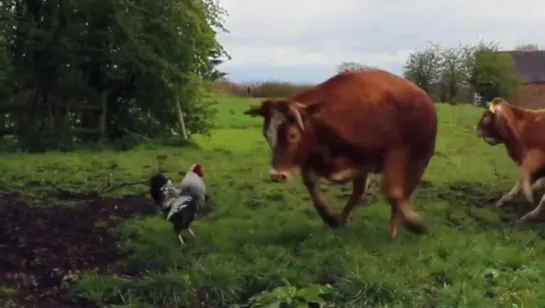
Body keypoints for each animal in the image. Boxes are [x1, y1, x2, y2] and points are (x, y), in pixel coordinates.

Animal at [242, 71, 438, 239]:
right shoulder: (315, 161)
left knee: (405, 191)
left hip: (420, 159)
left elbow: (393, 193)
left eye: (293, 134)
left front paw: (414, 224)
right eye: (266, 134)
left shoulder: (394, 154)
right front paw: (333, 219)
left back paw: (395, 228)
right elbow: (315, 191)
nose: (277, 175)